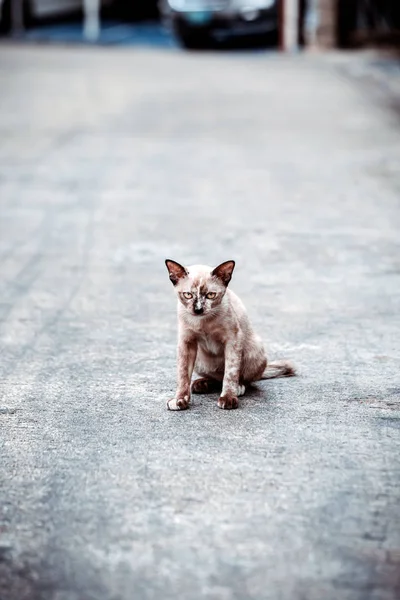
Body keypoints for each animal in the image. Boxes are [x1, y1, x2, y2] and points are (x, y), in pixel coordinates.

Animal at [164, 260, 296, 410]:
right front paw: (179, 400)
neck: (202, 322)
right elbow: (183, 375)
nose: (198, 310)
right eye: (188, 295)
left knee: (241, 378)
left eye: (211, 295)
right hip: (199, 361)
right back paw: (201, 384)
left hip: (254, 349)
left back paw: (238, 388)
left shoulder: (232, 340)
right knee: (217, 377)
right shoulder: (186, 342)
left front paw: (228, 398)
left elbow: (231, 372)